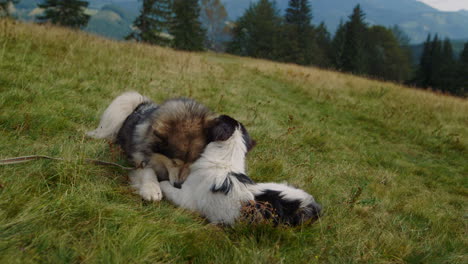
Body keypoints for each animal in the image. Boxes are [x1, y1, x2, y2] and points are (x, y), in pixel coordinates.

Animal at [88, 92, 218, 201]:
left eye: (192, 163)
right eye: (174, 162)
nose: (178, 185)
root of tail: (141, 105)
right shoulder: (137, 158)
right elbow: (147, 171)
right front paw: (151, 189)